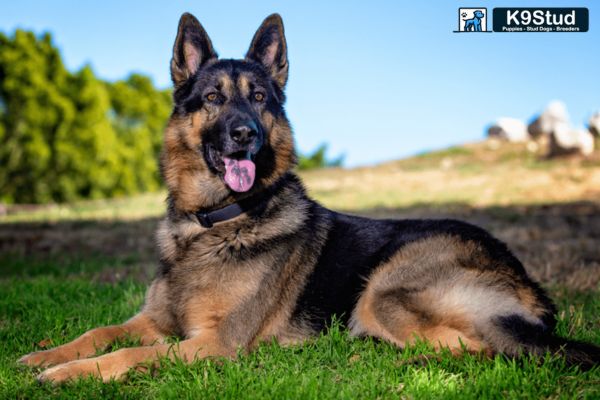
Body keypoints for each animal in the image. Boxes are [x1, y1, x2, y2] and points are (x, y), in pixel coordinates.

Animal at [18, 11, 600, 382]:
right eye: (212, 98)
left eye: (258, 98)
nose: (246, 134)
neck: (215, 223)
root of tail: (530, 283)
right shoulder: (154, 322)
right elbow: (100, 329)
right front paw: (43, 354)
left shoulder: (211, 345)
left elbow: (129, 356)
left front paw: (68, 373)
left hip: (384, 291)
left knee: (485, 351)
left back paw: (399, 366)